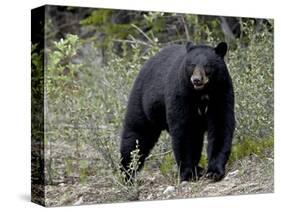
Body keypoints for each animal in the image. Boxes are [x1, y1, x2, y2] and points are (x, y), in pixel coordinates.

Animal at [120, 41, 234, 182]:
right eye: (191, 65)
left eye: (208, 65)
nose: (196, 79)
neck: (201, 94)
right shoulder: (180, 93)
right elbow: (183, 130)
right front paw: (188, 173)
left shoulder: (221, 92)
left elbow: (221, 125)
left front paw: (214, 171)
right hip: (142, 102)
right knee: (136, 135)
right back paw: (127, 174)